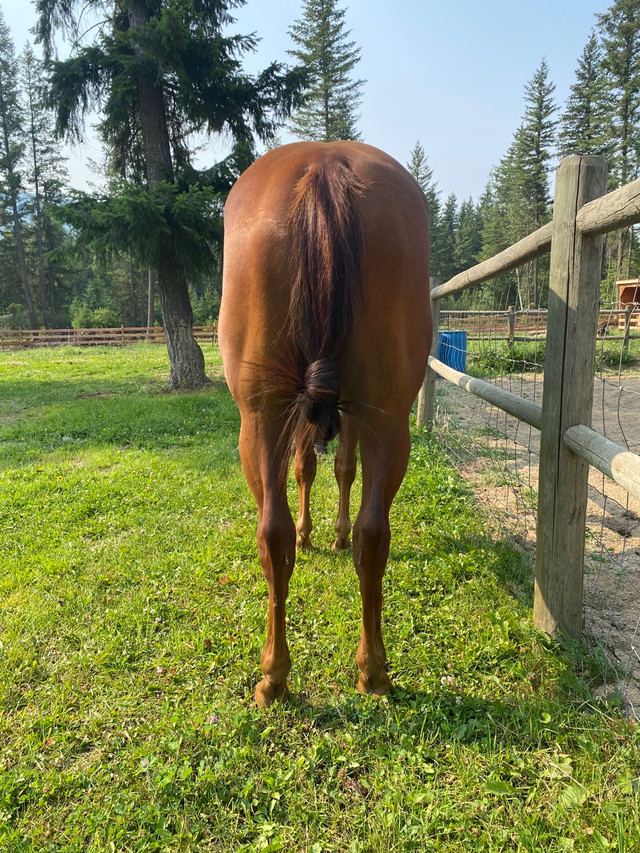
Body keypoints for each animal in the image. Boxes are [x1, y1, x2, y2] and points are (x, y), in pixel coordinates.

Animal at [218, 141, 432, 704]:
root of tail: (324, 164)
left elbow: (314, 470)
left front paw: (315, 534)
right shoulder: (349, 412)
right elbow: (336, 470)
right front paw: (329, 534)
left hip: (262, 416)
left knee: (273, 533)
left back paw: (276, 674)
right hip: (385, 418)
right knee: (372, 535)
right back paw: (371, 671)